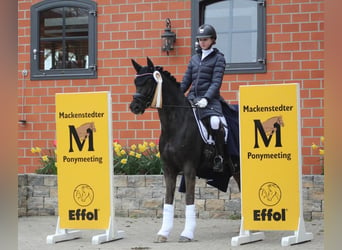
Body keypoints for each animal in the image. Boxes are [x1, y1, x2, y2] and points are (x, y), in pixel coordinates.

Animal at [130, 58, 239, 242]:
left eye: (149, 82)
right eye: (136, 82)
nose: (134, 107)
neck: (175, 123)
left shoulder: (189, 168)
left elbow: (189, 198)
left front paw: (187, 233)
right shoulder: (169, 169)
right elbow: (168, 199)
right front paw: (163, 233)